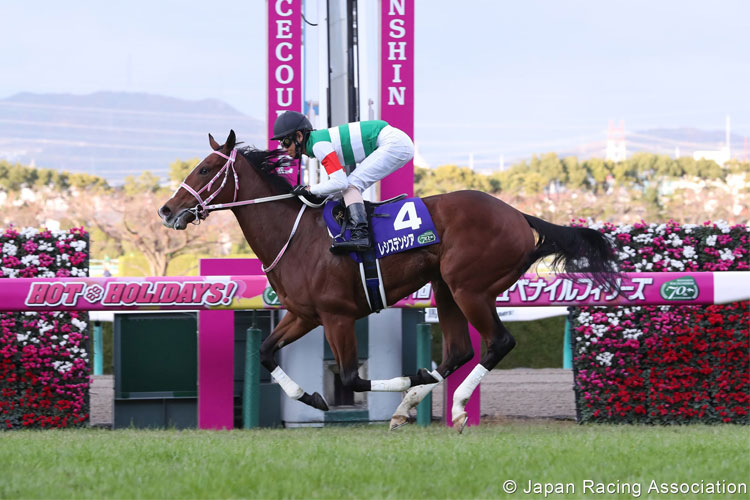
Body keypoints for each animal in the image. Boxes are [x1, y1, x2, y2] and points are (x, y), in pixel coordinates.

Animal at [157, 131, 616, 432]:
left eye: (206, 169)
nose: (166, 210)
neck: (295, 234)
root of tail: (519, 215)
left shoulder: (337, 316)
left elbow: (351, 378)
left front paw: (399, 384)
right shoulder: (304, 314)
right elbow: (267, 353)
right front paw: (311, 397)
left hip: (468, 287)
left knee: (498, 342)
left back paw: (456, 406)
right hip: (446, 288)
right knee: (458, 352)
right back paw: (410, 405)